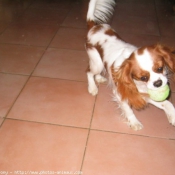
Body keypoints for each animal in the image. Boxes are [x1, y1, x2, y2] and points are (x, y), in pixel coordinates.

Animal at [85, 0, 175, 129]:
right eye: (143, 77)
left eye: (160, 68)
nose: (158, 83)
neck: (140, 85)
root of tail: (94, 26)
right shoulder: (121, 94)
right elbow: (128, 110)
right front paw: (135, 123)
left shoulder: (147, 92)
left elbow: (167, 103)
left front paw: (172, 115)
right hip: (97, 62)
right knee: (89, 72)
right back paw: (92, 88)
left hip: (100, 63)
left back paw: (99, 79)